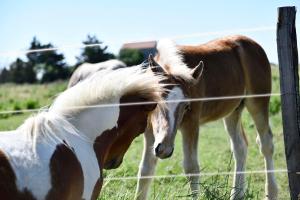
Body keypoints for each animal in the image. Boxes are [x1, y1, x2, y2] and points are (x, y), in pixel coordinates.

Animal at [135, 35, 278, 199]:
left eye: (187, 106)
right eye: (157, 101)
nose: (164, 149)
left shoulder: (191, 124)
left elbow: (191, 168)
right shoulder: (149, 130)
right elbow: (145, 169)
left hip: (258, 102)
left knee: (266, 143)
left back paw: (271, 192)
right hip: (233, 110)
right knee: (240, 146)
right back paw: (237, 194)